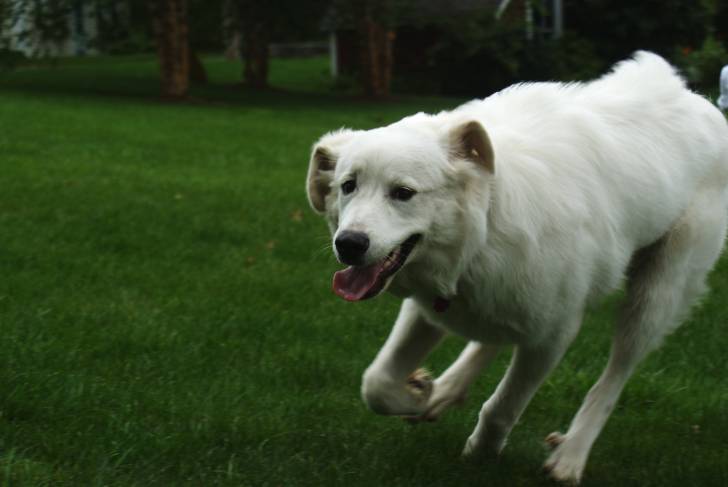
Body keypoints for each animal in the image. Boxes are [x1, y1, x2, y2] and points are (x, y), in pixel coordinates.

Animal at [305, 51, 728, 484]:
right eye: (348, 186)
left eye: (403, 193)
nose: (349, 245)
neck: (483, 229)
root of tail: (696, 98)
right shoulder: (429, 306)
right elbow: (376, 384)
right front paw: (418, 396)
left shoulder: (554, 335)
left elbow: (503, 406)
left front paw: (482, 451)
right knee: (493, 335)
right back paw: (445, 392)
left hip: (655, 296)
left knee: (613, 378)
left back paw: (571, 455)